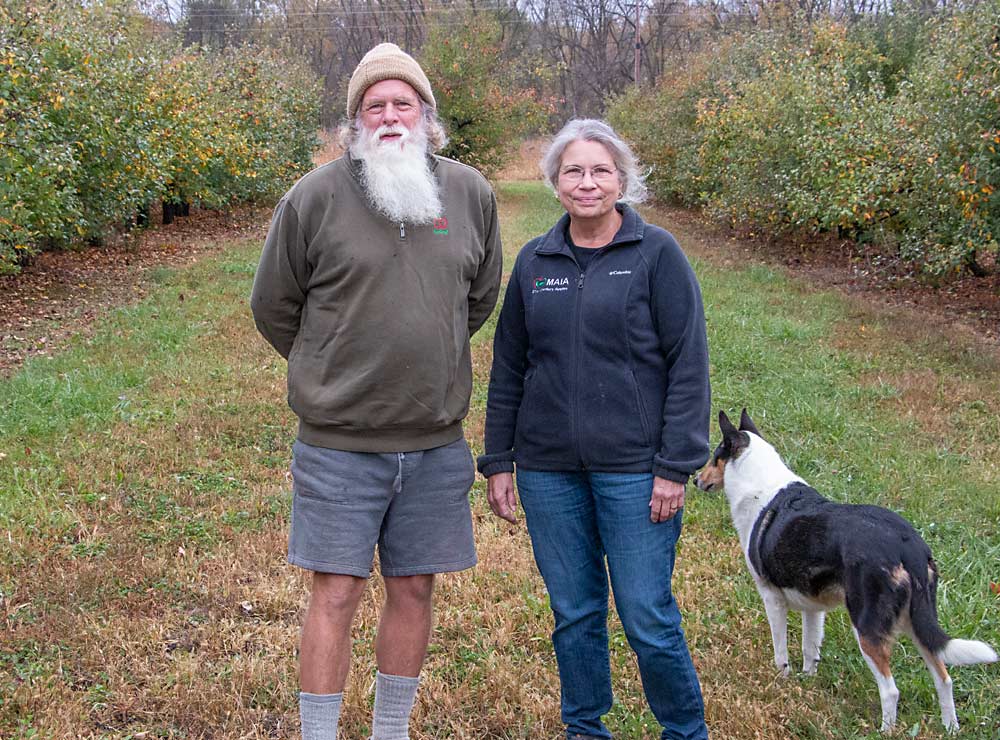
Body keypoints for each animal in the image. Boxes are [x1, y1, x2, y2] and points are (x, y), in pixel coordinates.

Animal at [692, 410, 996, 736]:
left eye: (715, 458)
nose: (696, 479)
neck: (760, 485)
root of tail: (908, 546)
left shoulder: (771, 597)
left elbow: (781, 651)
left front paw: (781, 681)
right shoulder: (813, 607)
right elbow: (810, 647)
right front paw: (807, 682)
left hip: (866, 626)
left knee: (891, 690)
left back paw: (884, 731)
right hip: (919, 623)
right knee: (944, 678)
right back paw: (951, 728)